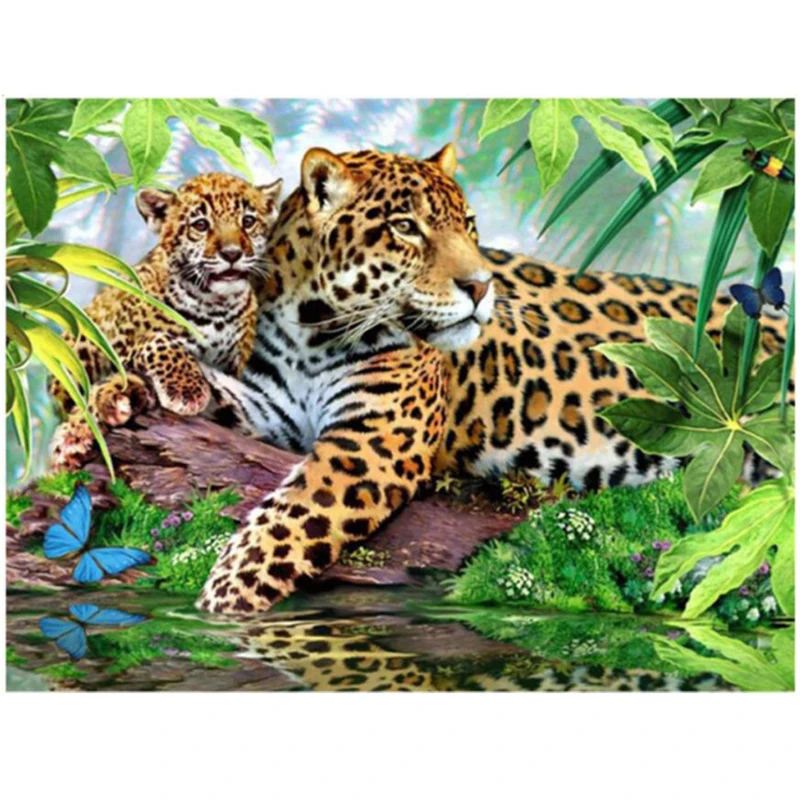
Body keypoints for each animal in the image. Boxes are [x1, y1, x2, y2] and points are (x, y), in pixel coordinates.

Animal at [50, 172, 283, 469]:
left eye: (248, 221)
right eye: (201, 225)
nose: (232, 254)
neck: (215, 305)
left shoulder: (234, 368)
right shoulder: (119, 348)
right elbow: (159, 340)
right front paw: (188, 390)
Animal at [186, 143, 788, 615]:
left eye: (468, 228)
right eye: (405, 228)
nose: (480, 286)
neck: (310, 331)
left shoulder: (375, 441)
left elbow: (289, 520)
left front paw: (220, 600)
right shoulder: (272, 410)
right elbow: (214, 396)